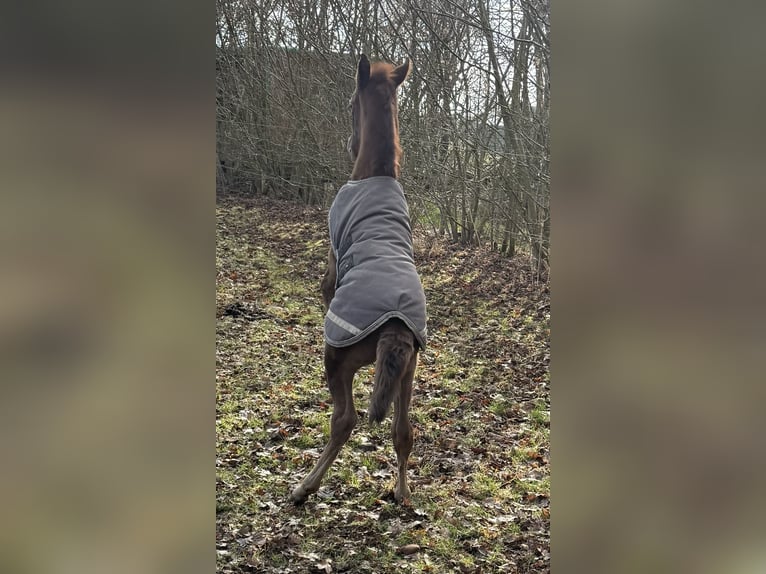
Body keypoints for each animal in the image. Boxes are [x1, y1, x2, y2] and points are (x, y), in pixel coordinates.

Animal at [290, 54, 427, 505]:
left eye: (352, 102)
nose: (348, 141)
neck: (376, 173)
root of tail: (396, 326)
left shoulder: (332, 268)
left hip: (339, 359)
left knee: (345, 419)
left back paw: (306, 485)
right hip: (408, 371)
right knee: (403, 430)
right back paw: (401, 491)